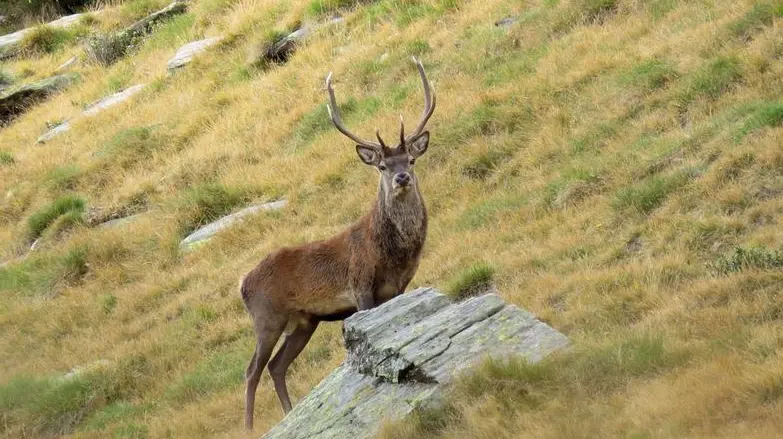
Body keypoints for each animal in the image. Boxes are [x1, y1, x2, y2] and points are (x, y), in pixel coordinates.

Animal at [240, 56, 434, 432]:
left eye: (411, 160)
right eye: (383, 165)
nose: (402, 178)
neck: (389, 254)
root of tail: (241, 284)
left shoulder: (399, 289)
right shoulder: (360, 288)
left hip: (304, 321)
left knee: (276, 366)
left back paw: (290, 413)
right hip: (266, 317)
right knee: (253, 370)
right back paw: (251, 428)